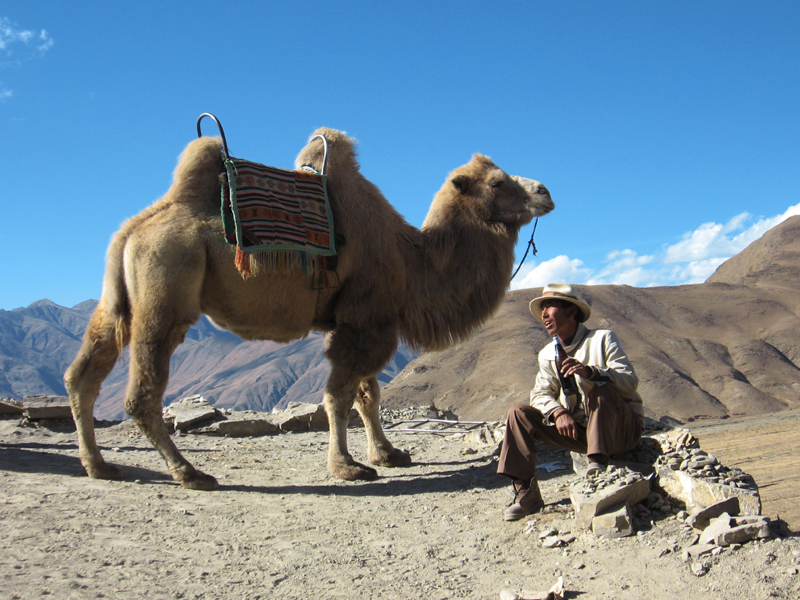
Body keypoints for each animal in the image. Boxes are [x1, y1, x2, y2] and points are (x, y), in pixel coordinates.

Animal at [65, 130, 552, 488]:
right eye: (497, 182)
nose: (545, 191)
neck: (411, 259)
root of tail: (135, 228)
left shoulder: (361, 320)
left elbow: (367, 395)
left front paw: (389, 454)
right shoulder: (364, 322)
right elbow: (339, 396)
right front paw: (348, 467)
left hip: (118, 301)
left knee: (83, 373)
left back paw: (99, 466)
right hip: (164, 292)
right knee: (142, 391)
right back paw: (190, 473)